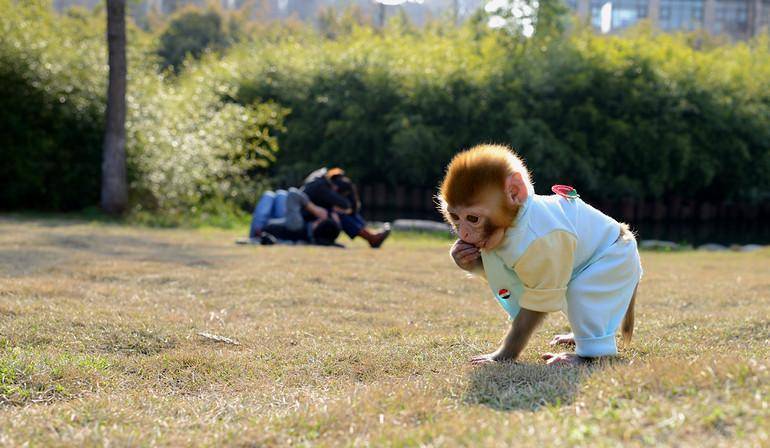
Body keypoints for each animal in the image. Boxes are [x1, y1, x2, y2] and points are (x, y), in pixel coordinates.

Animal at [438, 145, 640, 366]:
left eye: (472, 218)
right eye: (456, 217)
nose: (463, 233)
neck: (516, 223)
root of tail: (625, 232)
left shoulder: (548, 246)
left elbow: (537, 302)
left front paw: (501, 356)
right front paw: (463, 256)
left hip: (614, 267)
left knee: (583, 293)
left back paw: (585, 356)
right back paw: (573, 338)